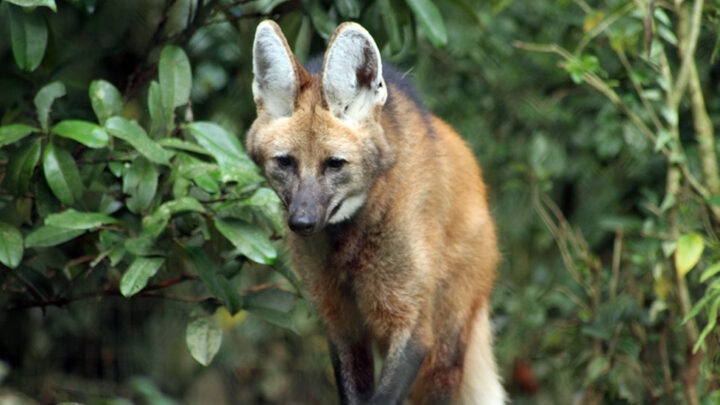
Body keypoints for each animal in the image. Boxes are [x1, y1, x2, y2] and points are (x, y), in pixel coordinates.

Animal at [246, 20, 505, 405]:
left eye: (335, 164)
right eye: (286, 162)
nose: (301, 222)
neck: (350, 239)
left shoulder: (411, 323)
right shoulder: (340, 322)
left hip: (446, 340)